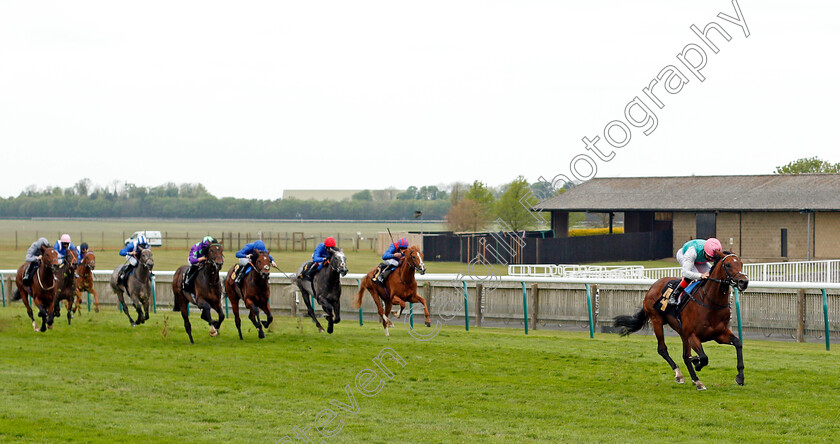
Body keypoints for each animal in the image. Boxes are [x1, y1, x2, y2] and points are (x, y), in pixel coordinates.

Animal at [612, 251, 752, 390]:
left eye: (741, 263)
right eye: (728, 265)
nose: (743, 282)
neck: (710, 303)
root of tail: (653, 286)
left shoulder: (719, 334)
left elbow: (738, 343)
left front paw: (740, 377)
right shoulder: (692, 335)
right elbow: (703, 357)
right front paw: (696, 362)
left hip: (682, 332)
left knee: (684, 356)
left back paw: (697, 380)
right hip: (657, 320)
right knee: (662, 349)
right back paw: (679, 374)